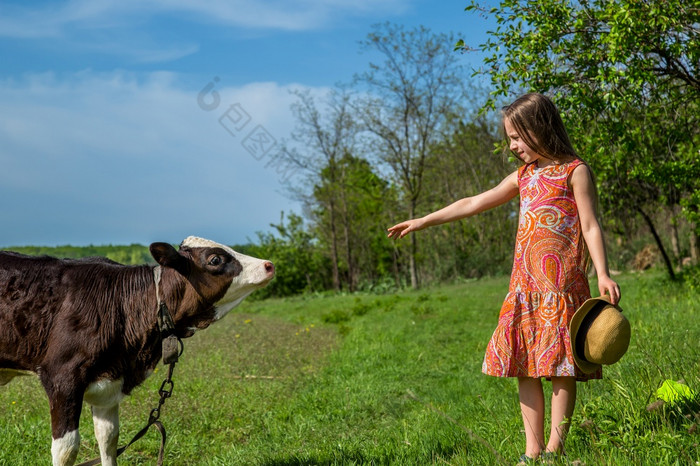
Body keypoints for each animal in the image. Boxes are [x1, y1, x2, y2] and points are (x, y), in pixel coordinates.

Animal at [0, 238, 274, 464]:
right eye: (215, 259)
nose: (269, 264)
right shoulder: (62, 377)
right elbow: (66, 449)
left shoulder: (109, 381)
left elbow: (109, 439)